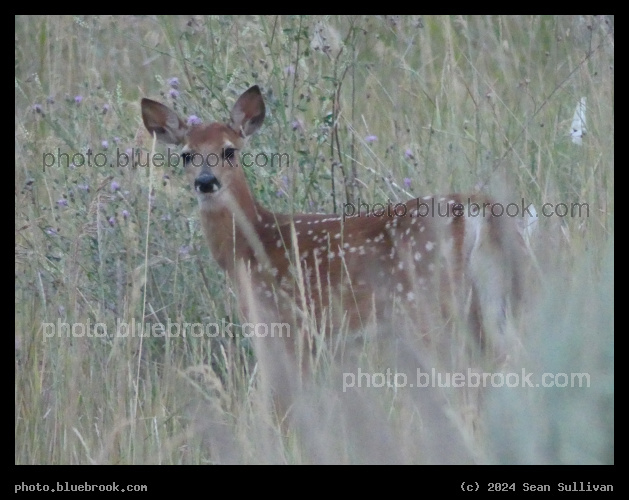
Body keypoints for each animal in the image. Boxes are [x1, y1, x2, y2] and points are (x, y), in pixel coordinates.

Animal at [141, 86, 524, 382]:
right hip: (492, 300)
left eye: (229, 150)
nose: (206, 182)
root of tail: (479, 207)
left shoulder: (285, 326)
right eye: (186, 154)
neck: (250, 246)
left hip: (433, 304)